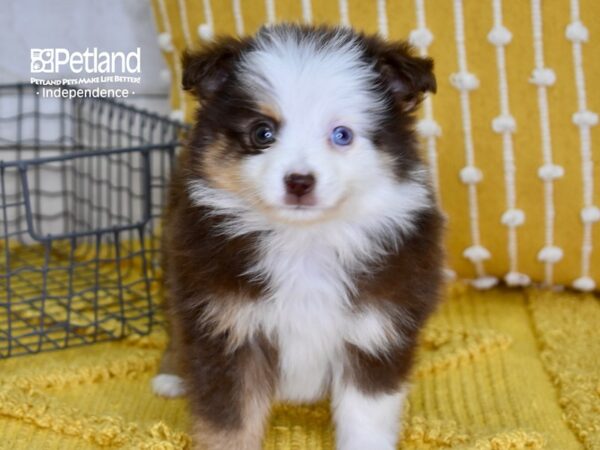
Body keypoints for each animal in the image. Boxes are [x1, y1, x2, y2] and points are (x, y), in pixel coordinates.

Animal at [154, 24, 446, 450]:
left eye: (341, 135)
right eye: (263, 133)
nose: (299, 182)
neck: (304, 241)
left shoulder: (375, 330)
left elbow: (365, 419)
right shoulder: (227, 328)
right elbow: (229, 423)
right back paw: (171, 375)